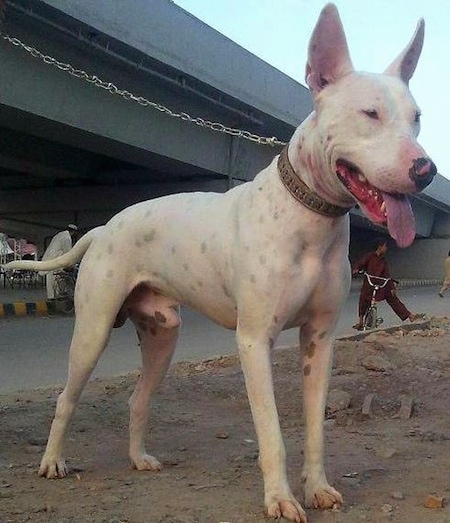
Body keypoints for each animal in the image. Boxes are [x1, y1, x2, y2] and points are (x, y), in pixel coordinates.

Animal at [4, 3, 436, 520]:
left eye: (416, 118)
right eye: (369, 113)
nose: (426, 170)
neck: (309, 216)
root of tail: (104, 227)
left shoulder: (319, 341)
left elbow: (315, 430)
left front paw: (317, 488)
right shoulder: (254, 342)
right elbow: (272, 434)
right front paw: (280, 498)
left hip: (163, 337)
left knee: (137, 400)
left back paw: (138, 458)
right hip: (91, 332)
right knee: (66, 398)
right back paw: (52, 461)